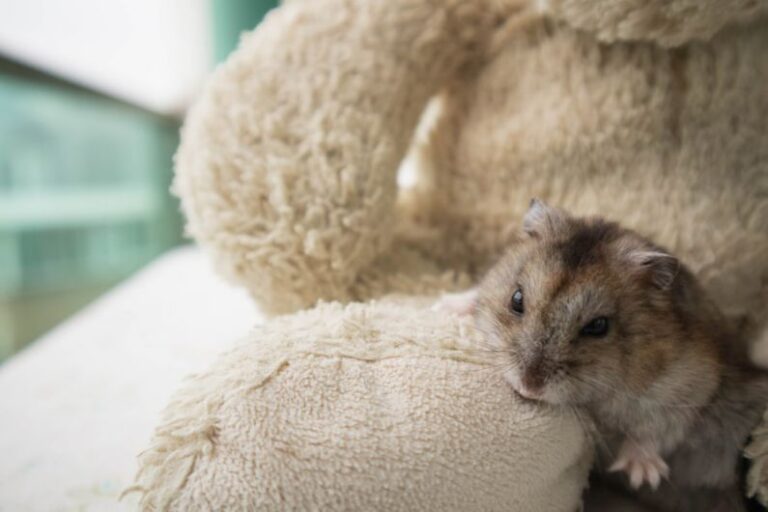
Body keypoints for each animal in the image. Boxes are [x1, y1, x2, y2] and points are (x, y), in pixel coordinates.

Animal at [436, 200, 768, 512]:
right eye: (516, 299)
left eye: (598, 326)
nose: (528, 387)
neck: (597, 399)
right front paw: (444, 305)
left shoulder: (691, 385)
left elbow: (658, 427)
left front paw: (642, 474)